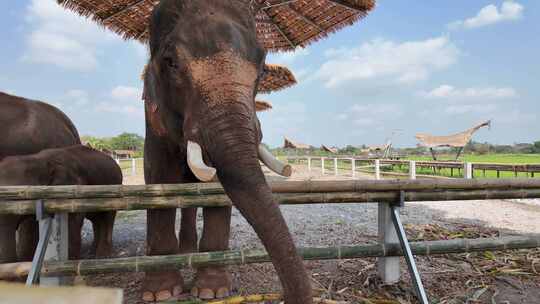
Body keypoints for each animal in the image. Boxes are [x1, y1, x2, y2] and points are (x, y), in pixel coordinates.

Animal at [142, 1, 312, 302]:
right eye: (170, 62)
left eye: (263, 70)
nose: (283, 295)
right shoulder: (153, 116)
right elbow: (159, 177)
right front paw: (161, 293)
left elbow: (217, 189)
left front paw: (212, 290)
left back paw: (189, 252)